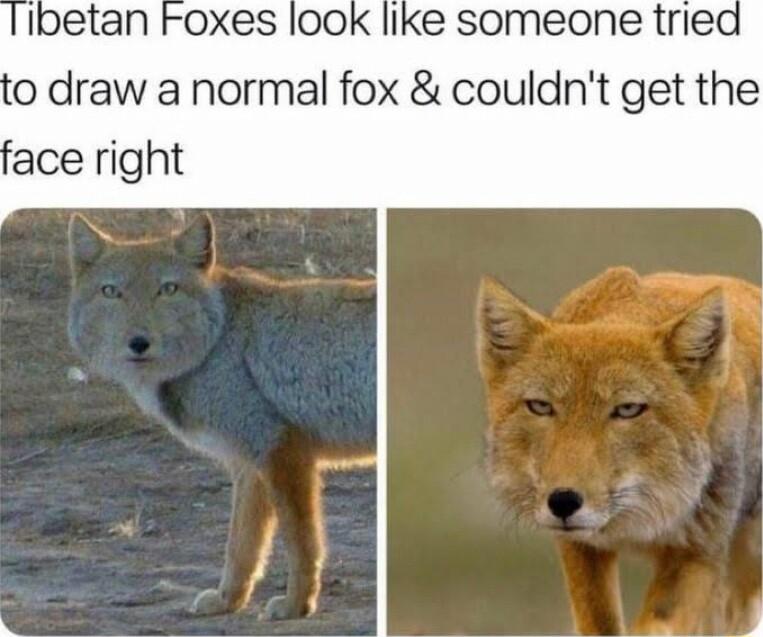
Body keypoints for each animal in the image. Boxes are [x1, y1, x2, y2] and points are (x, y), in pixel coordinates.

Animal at [67, 212, 376, 620]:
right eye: (111, 292)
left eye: (168, 289)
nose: (139, 343)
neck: (219, 340)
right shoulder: (248, 465)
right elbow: (241, 547)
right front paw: (228, 600)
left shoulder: (280, 452)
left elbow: (301, 543)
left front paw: (297, 604)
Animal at [476, 267, 761, 635]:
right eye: (540, 406)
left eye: (627, 410)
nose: (563, 501)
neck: (636, 527)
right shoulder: (580, 546)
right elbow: (602, 624)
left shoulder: (697, 552)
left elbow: (657, 624)